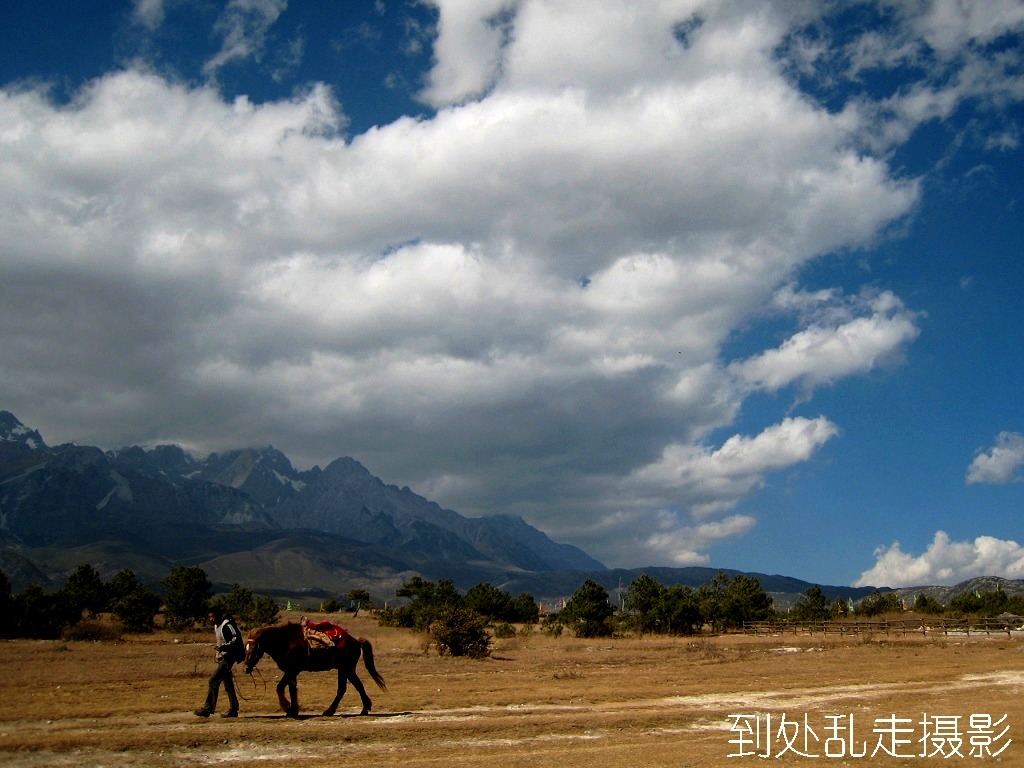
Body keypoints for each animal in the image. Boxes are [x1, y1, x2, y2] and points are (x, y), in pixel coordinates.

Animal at [241, 622, 385, 720]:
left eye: (254, 648)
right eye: (245, 648)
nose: (245, 668)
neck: (285, 641)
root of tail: (356, 642)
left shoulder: (292, 670)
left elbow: (280, 687)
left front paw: (286, 706)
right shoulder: (292, 672)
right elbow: (292, 690)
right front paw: (293, 710)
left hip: (345, 669)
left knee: (343, 689)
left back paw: (330, 711)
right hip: (347, 670)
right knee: (357, 686)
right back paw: (364, 709)